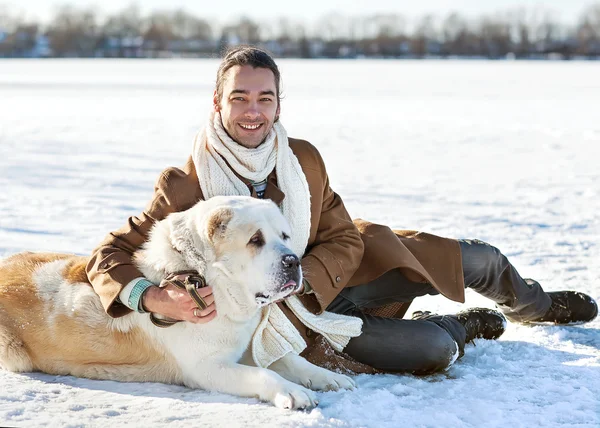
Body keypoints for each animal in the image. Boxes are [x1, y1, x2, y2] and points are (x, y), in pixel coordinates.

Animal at [0, 196, 354, 410]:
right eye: (256, 240)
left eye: (284, 236)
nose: (293, 261)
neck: (217, 284)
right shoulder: (206, 368)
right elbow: (263, 375)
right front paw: (293, 393)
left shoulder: (244, 347)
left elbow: (291, 361)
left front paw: (329, 378)